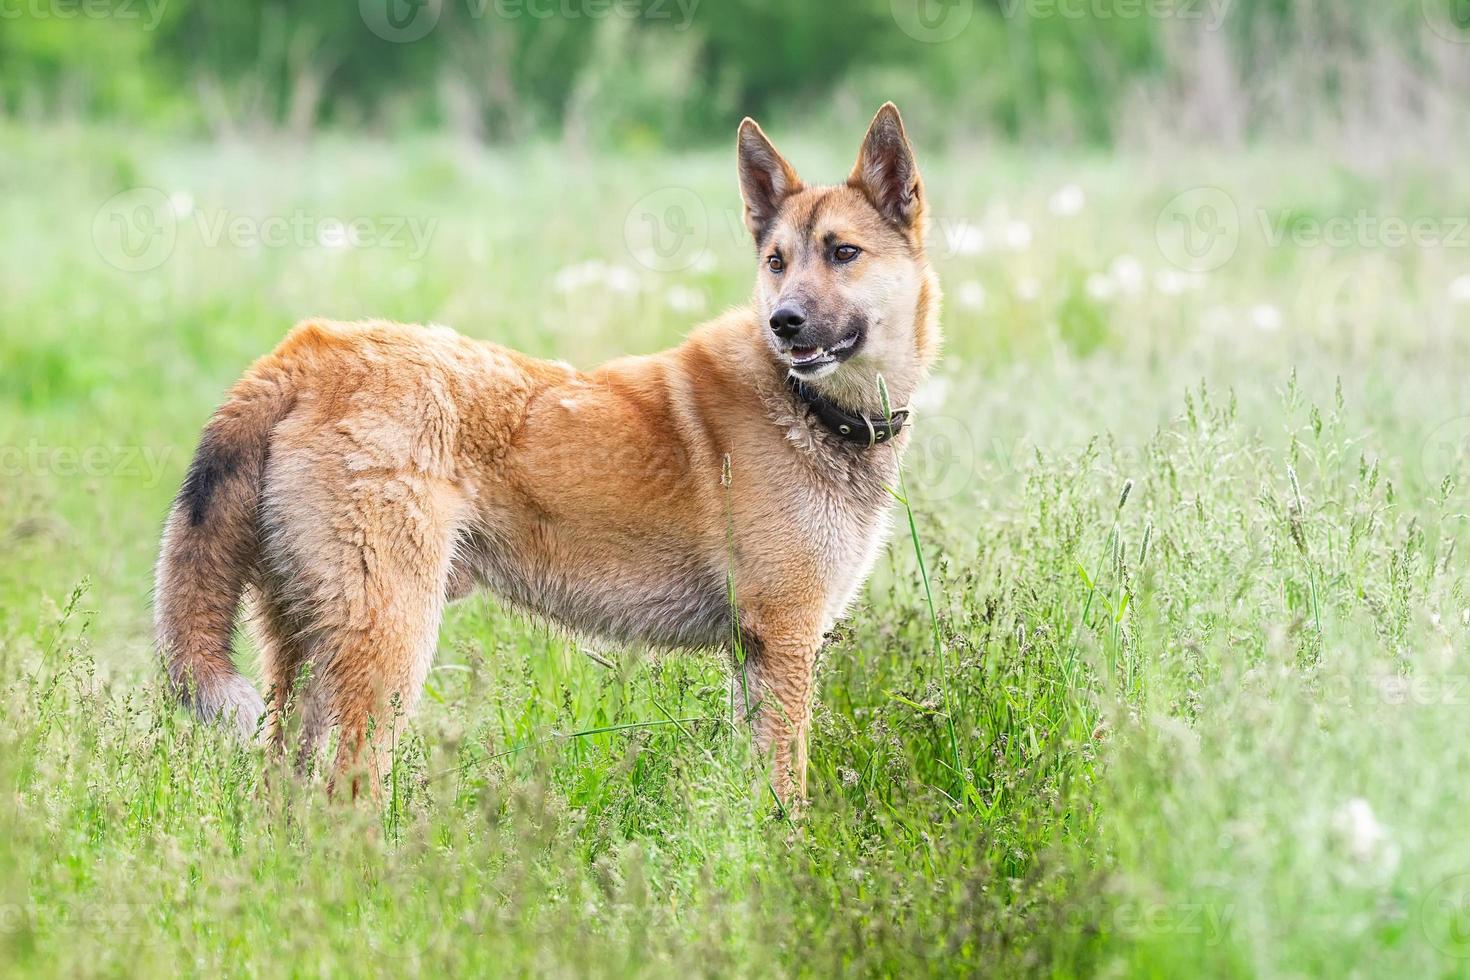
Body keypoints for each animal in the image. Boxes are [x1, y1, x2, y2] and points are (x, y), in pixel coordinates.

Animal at [155, 103, 940, 805]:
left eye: (843, 253)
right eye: (777, 262)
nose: (784, 322)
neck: (807, 408)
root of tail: (305, 353)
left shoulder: (756, 656)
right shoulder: (784, 640)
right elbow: (789, 792)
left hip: (302, 656)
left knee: (282, 796)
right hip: (388, 648)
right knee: (348, 796)